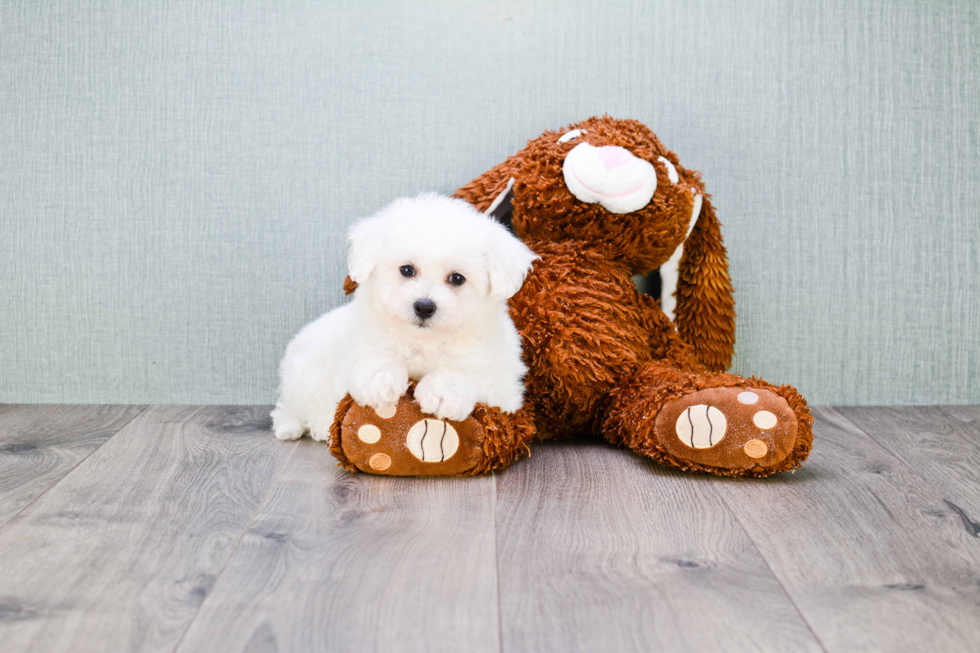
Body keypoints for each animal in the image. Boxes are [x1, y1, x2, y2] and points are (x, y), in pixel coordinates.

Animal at [272, 191, 540, 440]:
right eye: (407, 270)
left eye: (457, 278)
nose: (424, 306)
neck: (425, 341)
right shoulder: (359, 344)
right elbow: (372, 355)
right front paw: (379, 380)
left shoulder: (504, 386)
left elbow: (471, 375)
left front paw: (442, 392)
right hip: (306, 371)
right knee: (294, 406)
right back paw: (304, 426)